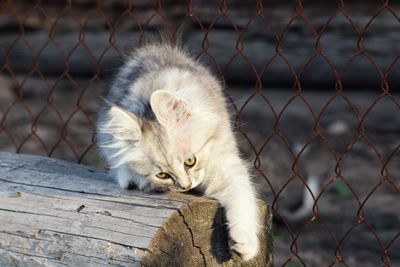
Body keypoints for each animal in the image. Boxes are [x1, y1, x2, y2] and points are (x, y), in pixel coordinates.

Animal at [95, 43, 260, 262]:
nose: (186, 186)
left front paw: (245, 243)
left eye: (190, 161)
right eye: (163, 175)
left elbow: (242, 197)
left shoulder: (226, 163)